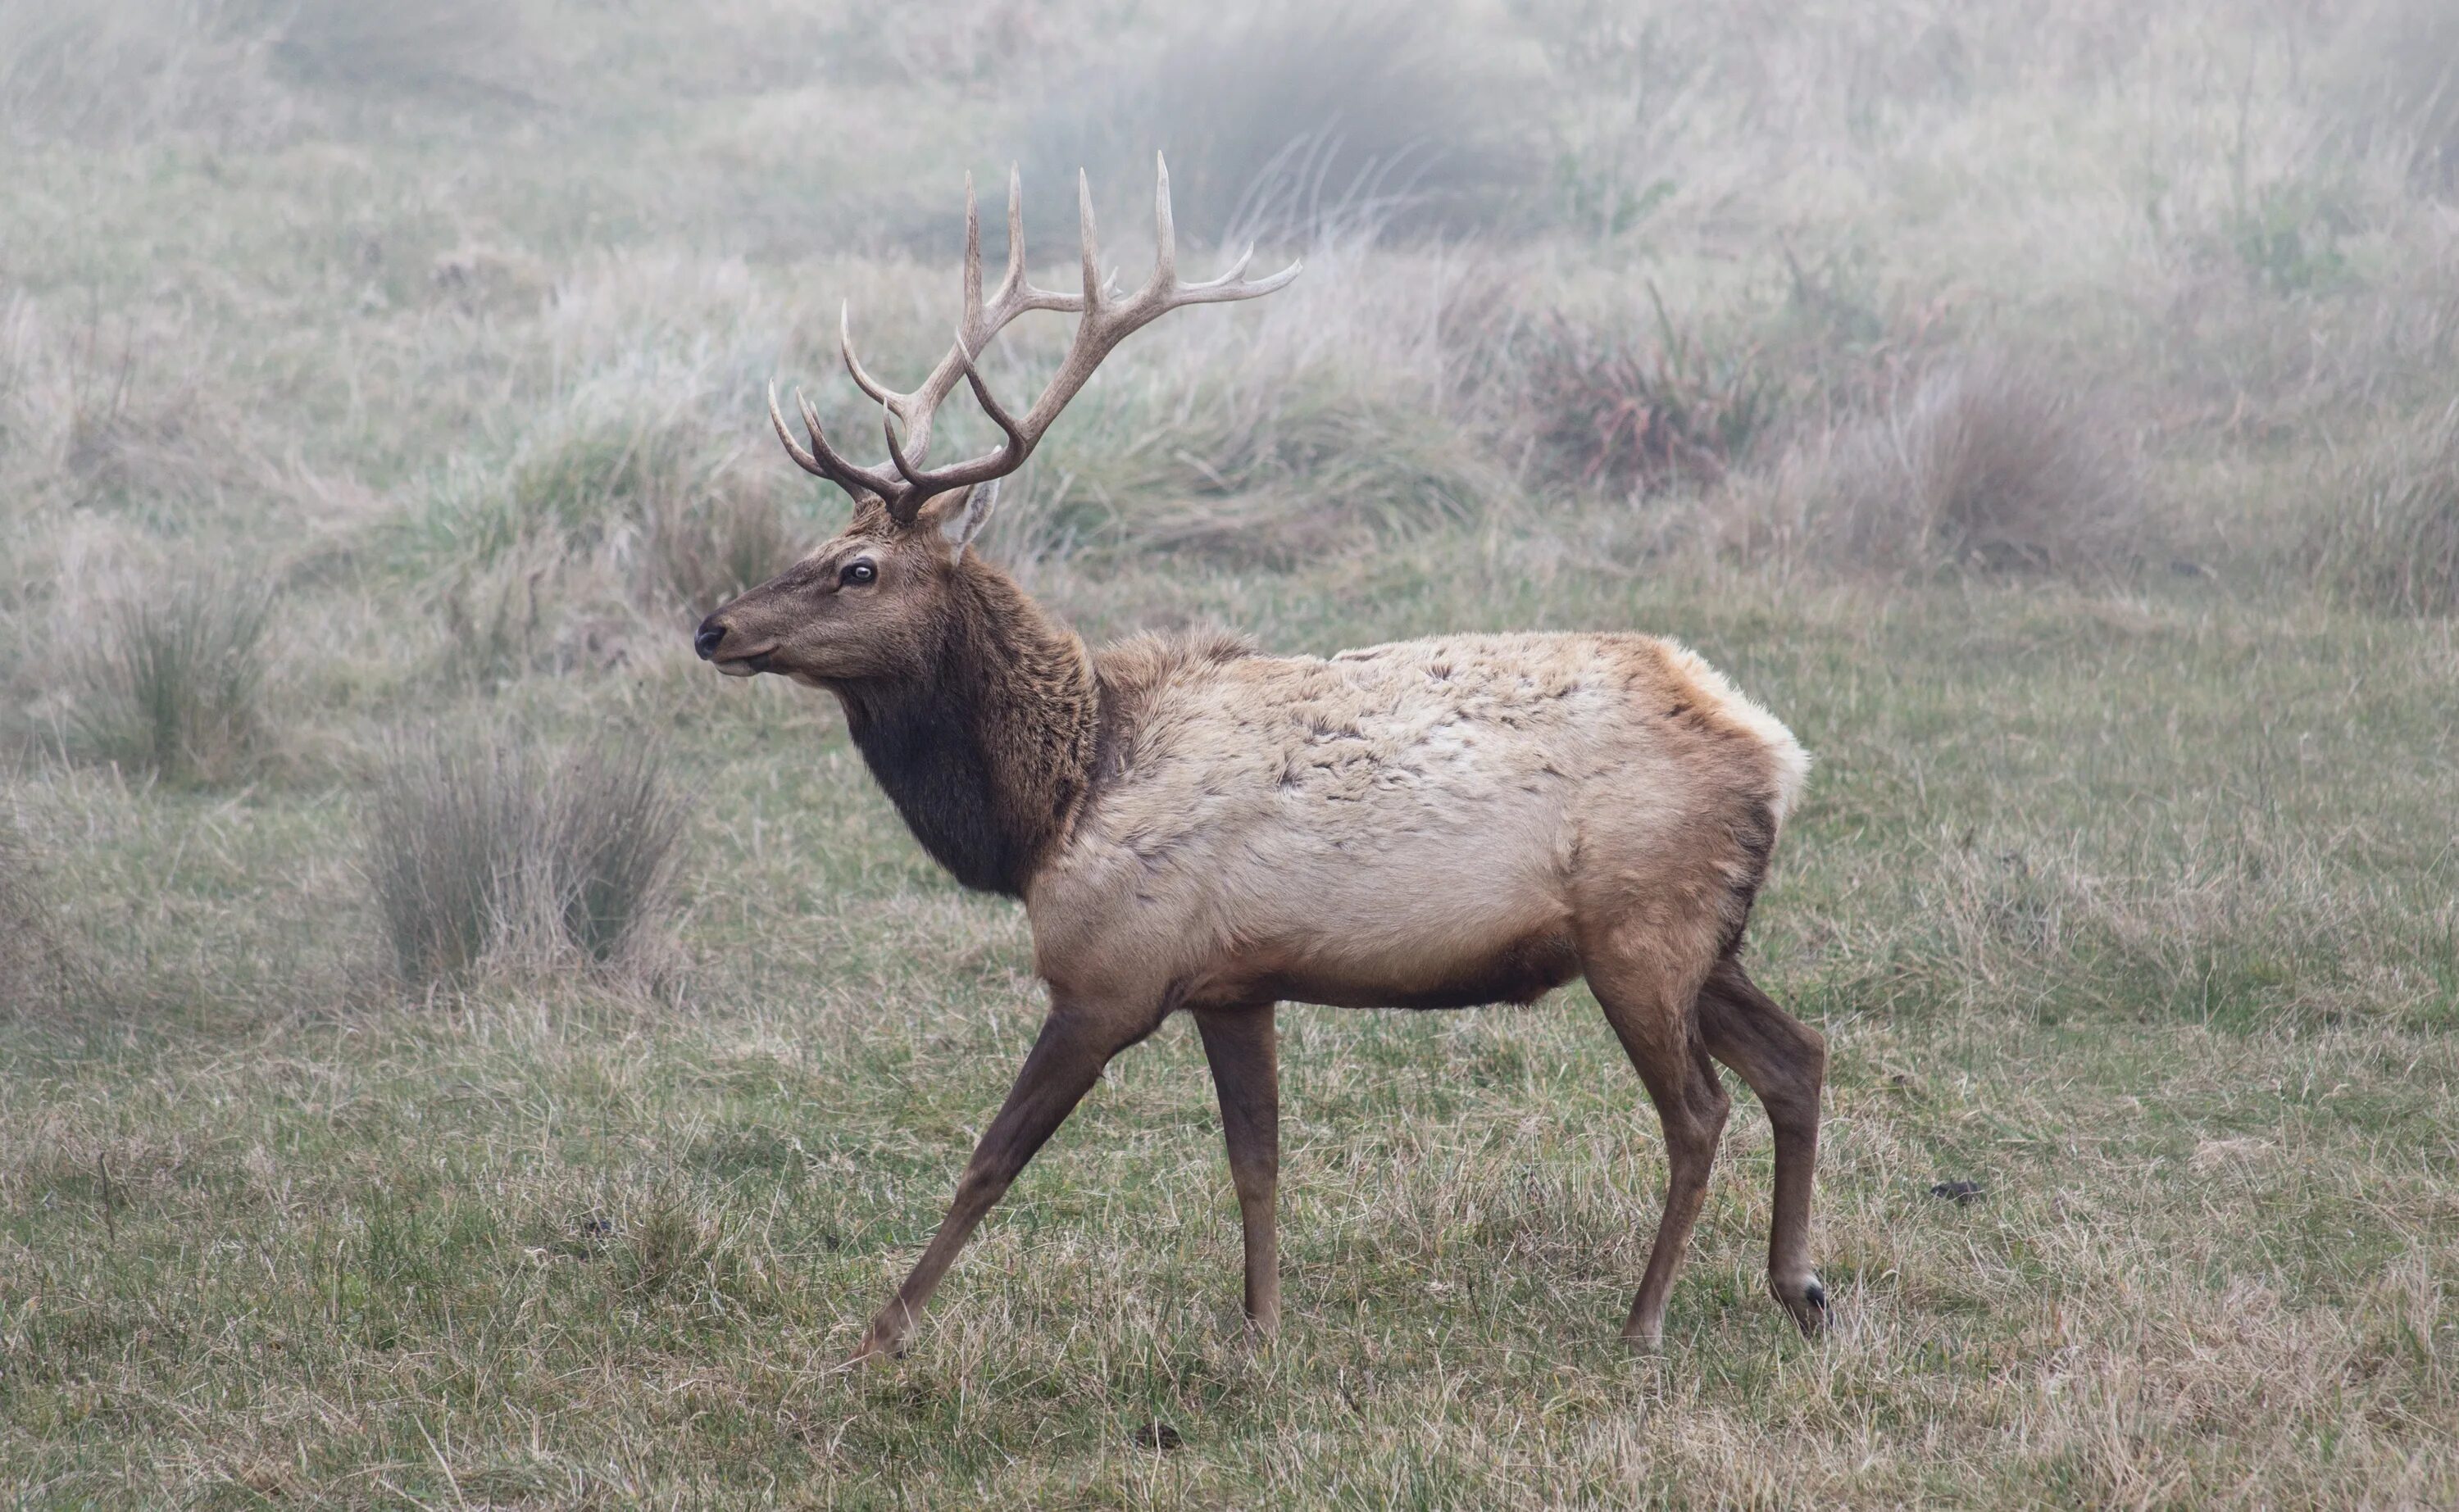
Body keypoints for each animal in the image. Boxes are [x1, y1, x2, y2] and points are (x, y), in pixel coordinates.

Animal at [698, 160, 1829, 1367]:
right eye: (816, 547)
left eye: (858, 569)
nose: (713, 627)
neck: (1052, 804)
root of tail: (1772, 748)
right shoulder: (1233, 983)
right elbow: (1257, 1163)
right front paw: (1259, 1328)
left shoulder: (1111, 976)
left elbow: (990, 1161)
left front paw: (880, 1333)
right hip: (1701, 934)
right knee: (1799, 1056)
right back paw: (1799, 1286)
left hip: (1642, 929)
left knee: (1700, 1111)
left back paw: (1647, 1318)